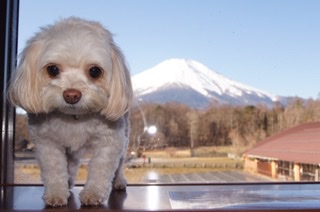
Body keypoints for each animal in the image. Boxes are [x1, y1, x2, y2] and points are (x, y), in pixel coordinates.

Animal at [7, 17, 132, 206]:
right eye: (52, 69)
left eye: (95, 71)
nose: (71, 95)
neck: (73, 117)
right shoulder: (47, 142)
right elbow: (54, 169)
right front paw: (57, 192)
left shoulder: (111, 140)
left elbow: (101, 167)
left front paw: (93, 193)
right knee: (71, 163)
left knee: (120, 163)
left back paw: (119, 181)